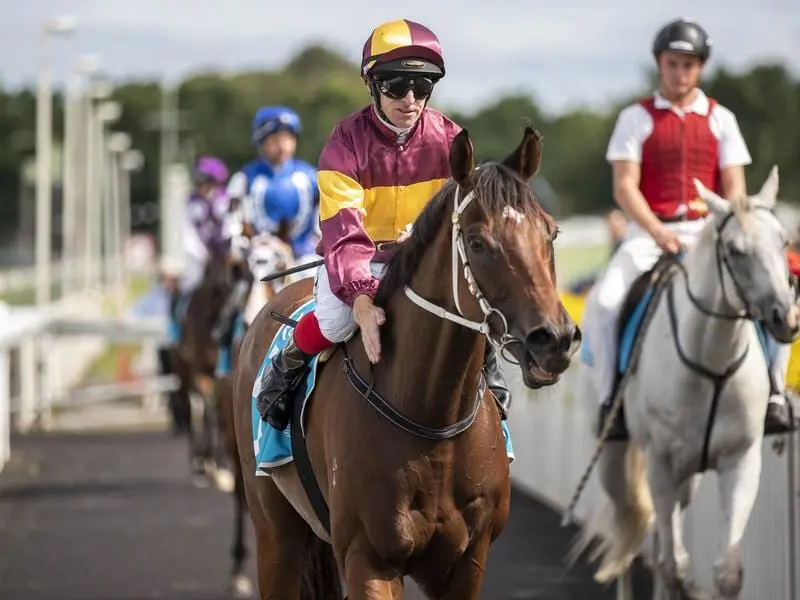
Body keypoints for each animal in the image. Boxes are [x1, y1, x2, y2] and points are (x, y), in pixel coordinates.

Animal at [231, 127, 580, 600]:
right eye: (477, 241)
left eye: (552, 232)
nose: (554, 339)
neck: (433, 419)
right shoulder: (368, 556)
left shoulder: (468, 562)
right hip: (275, 533)